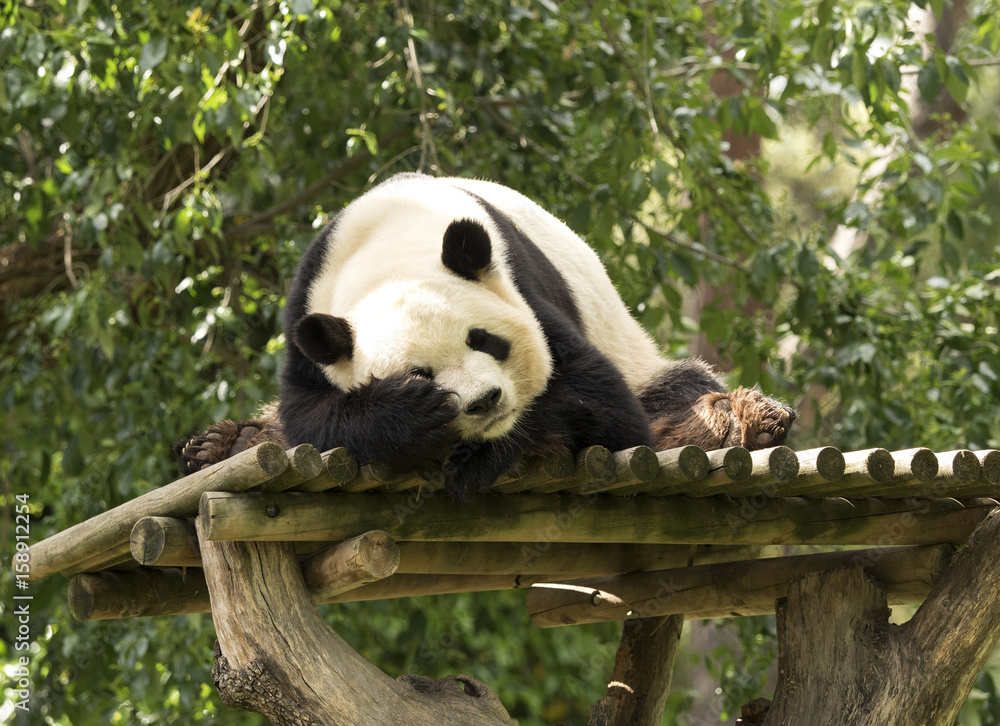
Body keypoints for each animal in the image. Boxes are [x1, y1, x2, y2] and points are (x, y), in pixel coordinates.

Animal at [177, 174, 794, 497]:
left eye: (485, 340)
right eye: (420, 371)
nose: (485, 402)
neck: (392, 252)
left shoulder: (525, 287)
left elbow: (599, 401)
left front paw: (483, 455)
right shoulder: (309, 317)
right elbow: (313, 415)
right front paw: (411, 416)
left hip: (638, 353)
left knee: (677, 393)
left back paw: (744, 419)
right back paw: (226, 443)